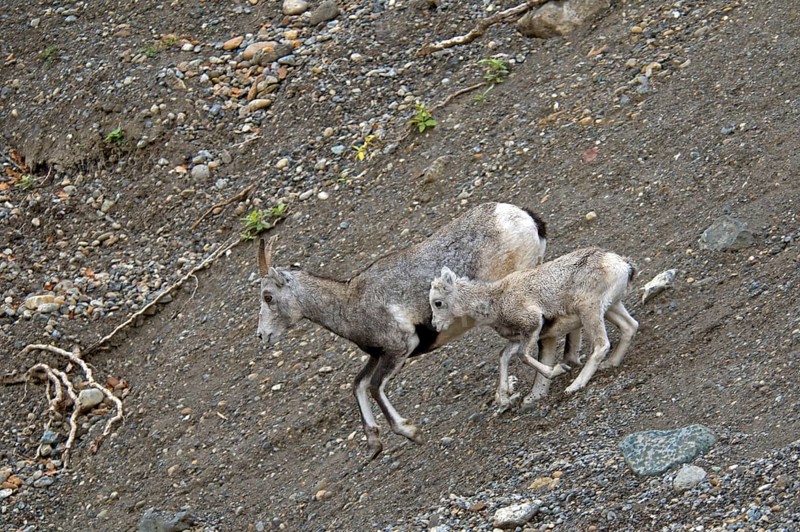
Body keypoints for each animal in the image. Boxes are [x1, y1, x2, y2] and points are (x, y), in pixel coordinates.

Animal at [256, 202, 565, 458]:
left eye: (268, 296)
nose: (262, 335)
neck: (349, 302)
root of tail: (522, 217)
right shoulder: (378, 354)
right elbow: (358, 385)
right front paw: (374, 444)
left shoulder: (399, 349)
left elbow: (375, 387)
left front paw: (411, 432)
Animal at [429, 247, 639, 403]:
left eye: (437, 303)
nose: (436, 325)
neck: (496, 301)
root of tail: (622, 264)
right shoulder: (521, 337)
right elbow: (503, 356)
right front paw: (504, 397)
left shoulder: (533, 325)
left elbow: (523, 356)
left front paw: (558, 370)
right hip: (611, 307)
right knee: (630, 326)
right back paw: (610, 364)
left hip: (589, 311)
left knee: (602, 345)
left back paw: (574, 386)